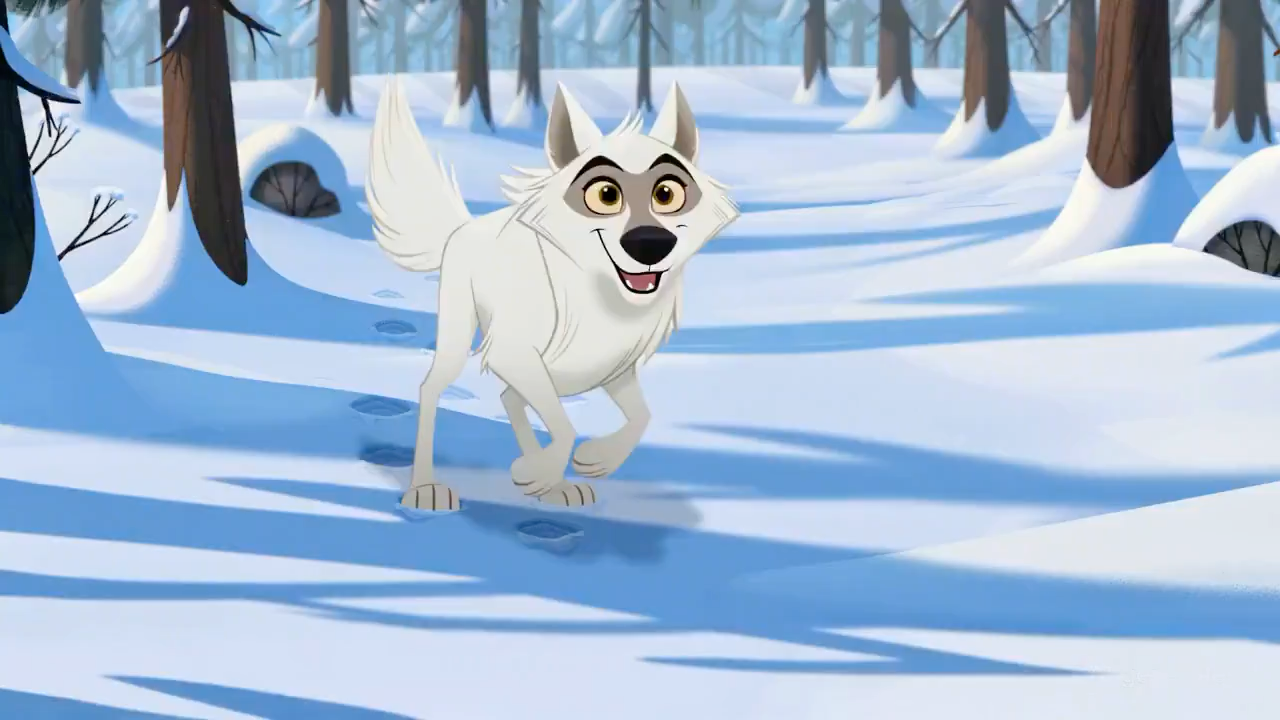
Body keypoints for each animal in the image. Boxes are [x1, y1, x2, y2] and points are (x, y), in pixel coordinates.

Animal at [365, 79, 739, 512]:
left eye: (666, 194)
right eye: (606, 195)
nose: (649, 243)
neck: (601, 293)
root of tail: (465, 226)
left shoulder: (613, 366)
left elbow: (641, 418)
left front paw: (592, 460)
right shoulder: (514, 353)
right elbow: (564, 426)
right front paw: (538, 471)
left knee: (510, 398)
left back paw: (549, 481)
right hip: (459, 338)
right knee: (433, 390)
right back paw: (426, 487)